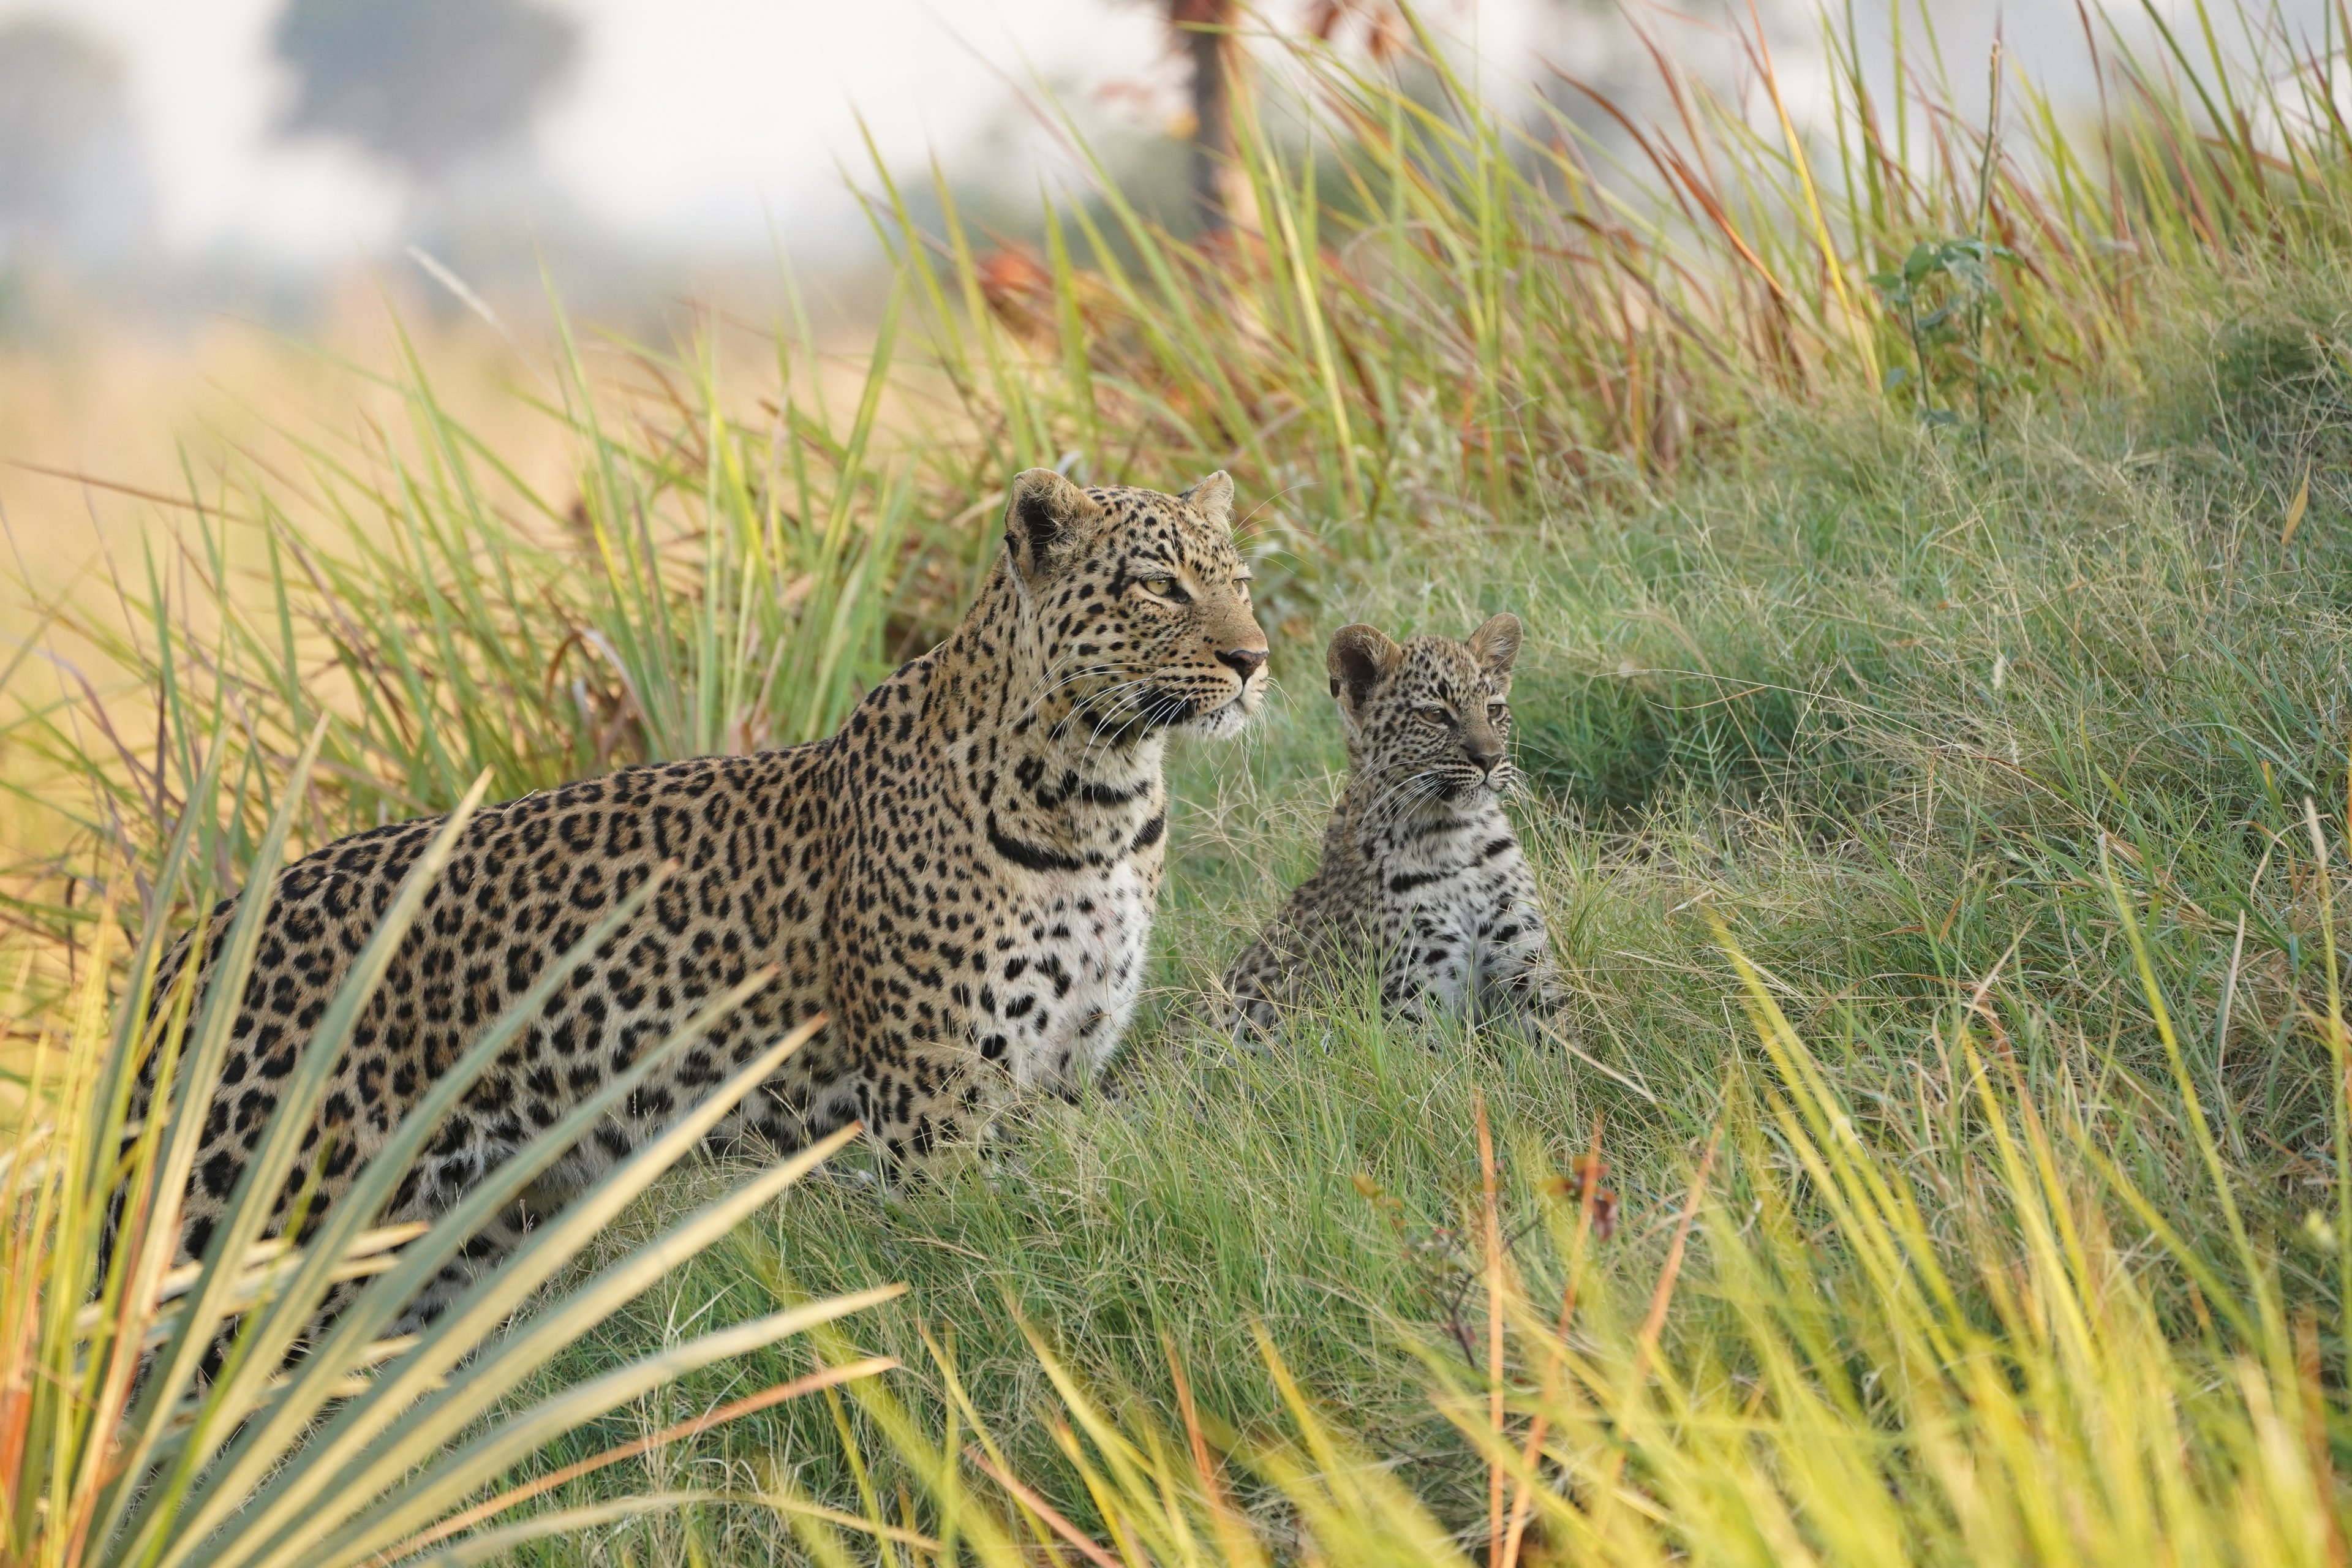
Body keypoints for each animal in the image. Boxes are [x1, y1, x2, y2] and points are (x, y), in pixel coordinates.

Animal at [147, 465, 1270, 1325]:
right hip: (250, 1240)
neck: (1102, 799)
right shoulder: (933, 1109)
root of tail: (190, 943)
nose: (1256, 659)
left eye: (1241, 583)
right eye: (1159, 587)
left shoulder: (1059, 1077)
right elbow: (969, 1283)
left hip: (438, 1261)